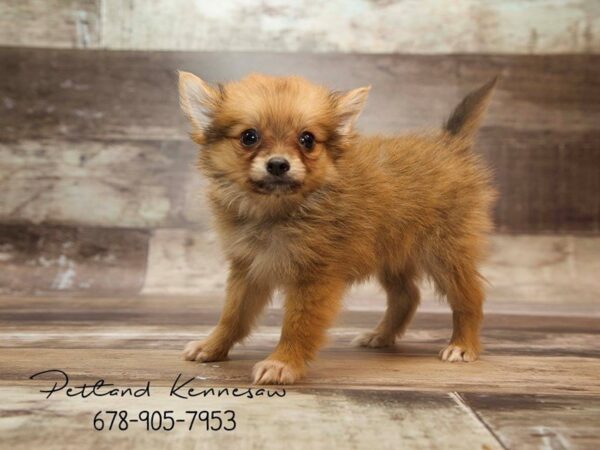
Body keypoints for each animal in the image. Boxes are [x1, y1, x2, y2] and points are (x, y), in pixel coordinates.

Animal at [177, 69, 496, 384]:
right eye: (249, 137)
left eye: (307, 139)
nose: (278, 164)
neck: (278, 211)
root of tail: (449, 144)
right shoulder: (248, 269)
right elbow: (232, 315)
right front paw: (213, 346)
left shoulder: (314, 278)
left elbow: (297, 324)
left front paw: (283, 362)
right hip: (390, 255)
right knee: (407, 296)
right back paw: (381, 335)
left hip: (445, 256)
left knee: (470, 298)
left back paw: (462, 345)